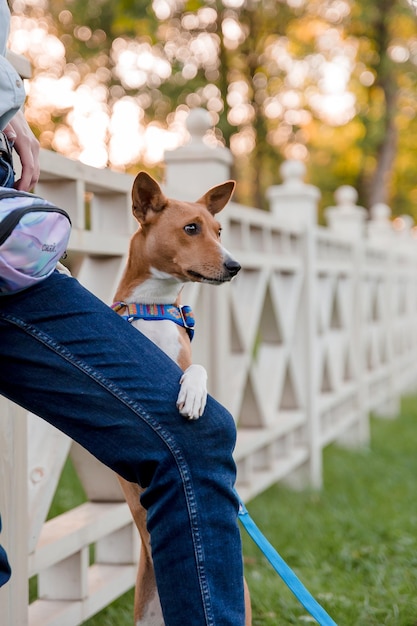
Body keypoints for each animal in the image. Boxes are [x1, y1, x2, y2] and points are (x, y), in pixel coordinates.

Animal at [112, 168, 250, 620]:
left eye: (219, 231)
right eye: (191, 229)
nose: (235, 265)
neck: (153, 309)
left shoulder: (187, 357)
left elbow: (198, 368)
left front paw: (192, 394)